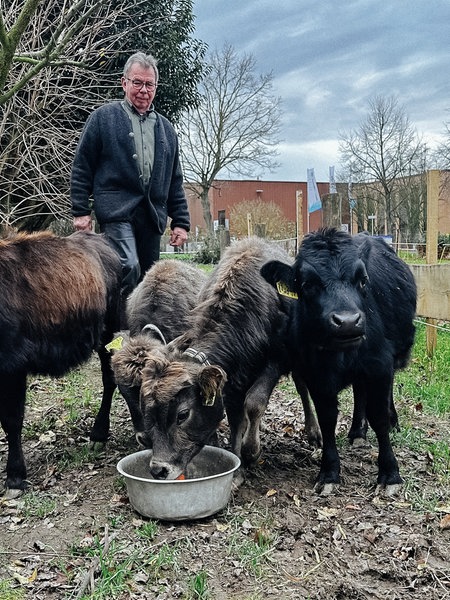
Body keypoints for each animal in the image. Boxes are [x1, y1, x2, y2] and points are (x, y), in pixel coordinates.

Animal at [0, 229, 121, 488]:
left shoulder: (12, 366)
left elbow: (12, 419)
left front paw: (15, 473)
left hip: (110, 333)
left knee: (110, 379)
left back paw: (99, 432)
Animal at [262, 227, 416, 494]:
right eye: (307, 284)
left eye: (362, 280)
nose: (347, 322)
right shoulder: (316, 376)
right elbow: (327, 419)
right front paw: (329, 471)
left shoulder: (379, 365)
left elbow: (378, 417)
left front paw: (390, 473)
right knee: (359, 392)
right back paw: (357, 432)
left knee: (384, 394)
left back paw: (392, 421)